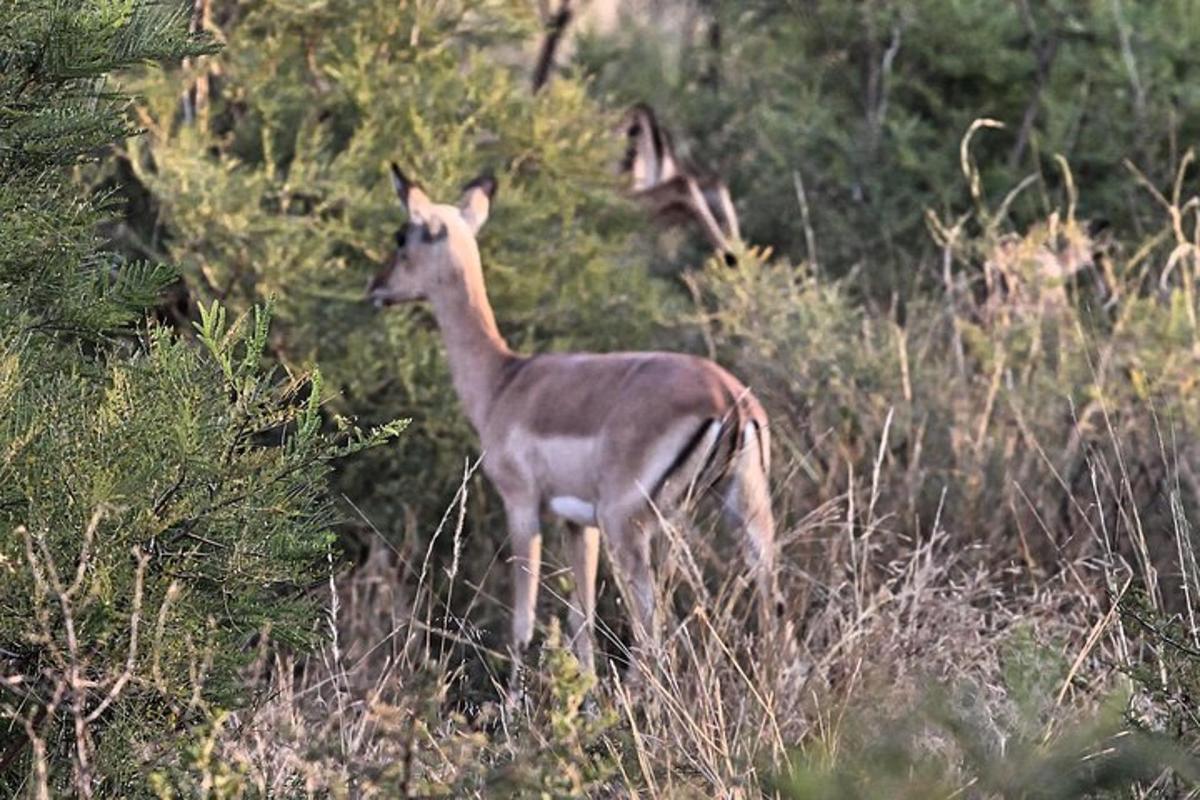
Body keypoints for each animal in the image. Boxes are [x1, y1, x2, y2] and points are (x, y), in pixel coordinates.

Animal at [364, 160, 777, 690]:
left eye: (402, 236)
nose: (376, 287)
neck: (505, 379)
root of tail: (729, 400)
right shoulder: (578, 524)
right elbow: (583, 623)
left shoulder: (522, 505)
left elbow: (524, 621)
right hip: (745, 512)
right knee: (773, 609)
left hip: (631, 527)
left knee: (652, 632)